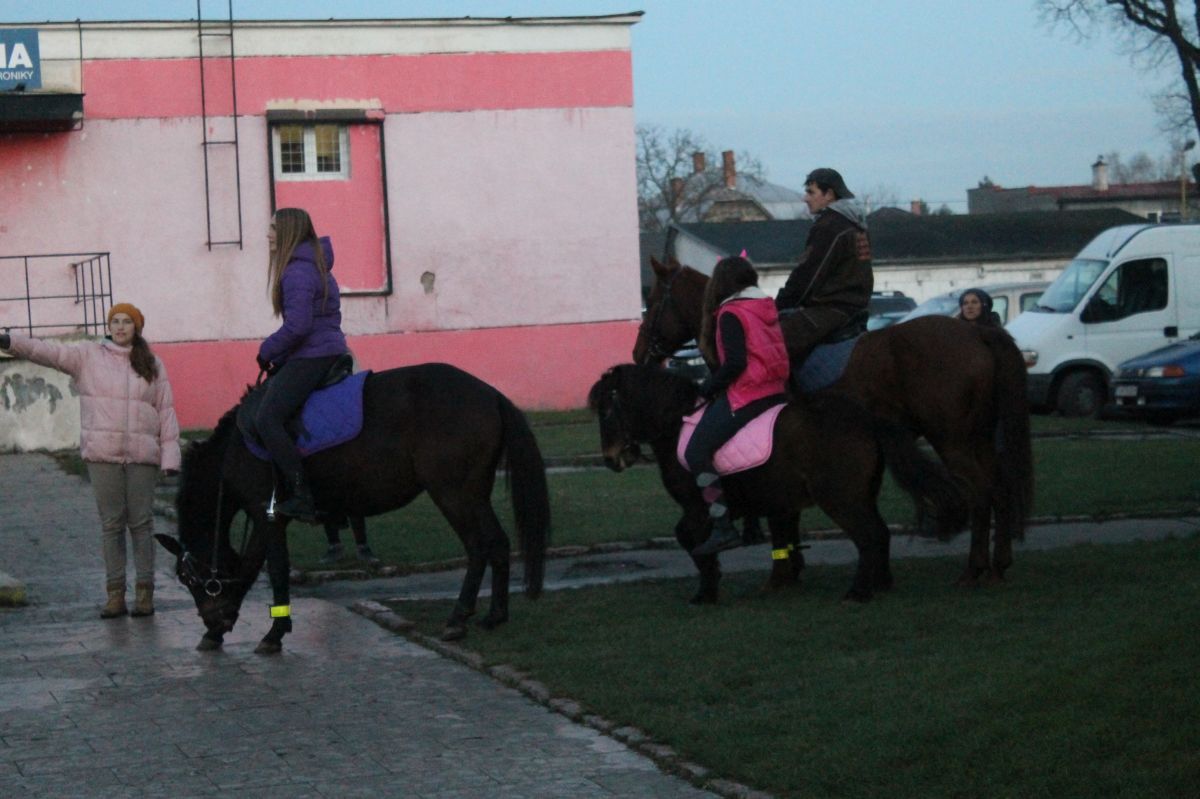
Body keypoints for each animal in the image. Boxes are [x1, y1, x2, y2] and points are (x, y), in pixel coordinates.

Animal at [154, 363, 550, 653]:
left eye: (187, 578)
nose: (212, 619)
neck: (235, 450)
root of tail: (491, 395)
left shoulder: (267, 514)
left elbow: (270, 568)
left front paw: (272, 632)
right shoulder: (269, 516)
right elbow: (255, 565)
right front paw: (221, 633)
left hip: (453, 493)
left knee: (478, 546)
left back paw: (458, 618)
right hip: (475, 493)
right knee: (498, 543)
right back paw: (495, 615)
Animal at [588, 365, 969, 603]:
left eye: (607, 410)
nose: (611, 459)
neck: (678, 424)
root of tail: (864, 417)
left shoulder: (697, 508)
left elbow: (690, 539)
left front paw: (705, 591)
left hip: (840, 499)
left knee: (869, 536)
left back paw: (858, 593)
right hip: (861, 495)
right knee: (880, 534)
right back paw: (881, 583)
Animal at [634, 256, 1033, 586]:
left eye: (653, 302)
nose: (638, 354)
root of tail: (976, 331)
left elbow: (783, 512)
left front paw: (784, 570)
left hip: (953, 440)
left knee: (981, 492)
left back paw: (974, 568)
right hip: (977, 437)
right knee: (999, 488)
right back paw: (998, 565)